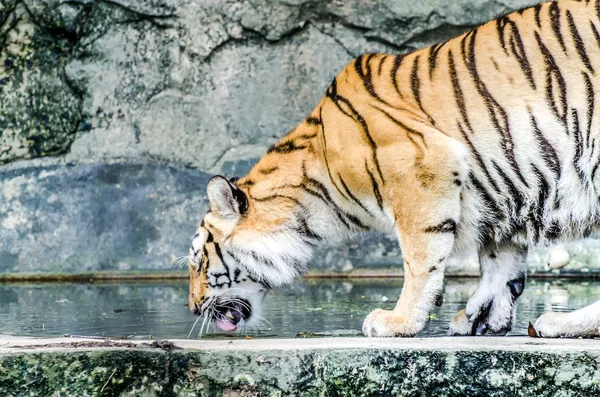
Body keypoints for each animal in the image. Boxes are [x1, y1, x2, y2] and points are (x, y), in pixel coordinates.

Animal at [189, 0, 600, 338]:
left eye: (198, 261)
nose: (192, 307)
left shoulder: (421, 172)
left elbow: (420, 261)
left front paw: (398, 322)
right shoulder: (506, 193)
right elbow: (501, 263)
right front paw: (481, 318)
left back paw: (556, 323)